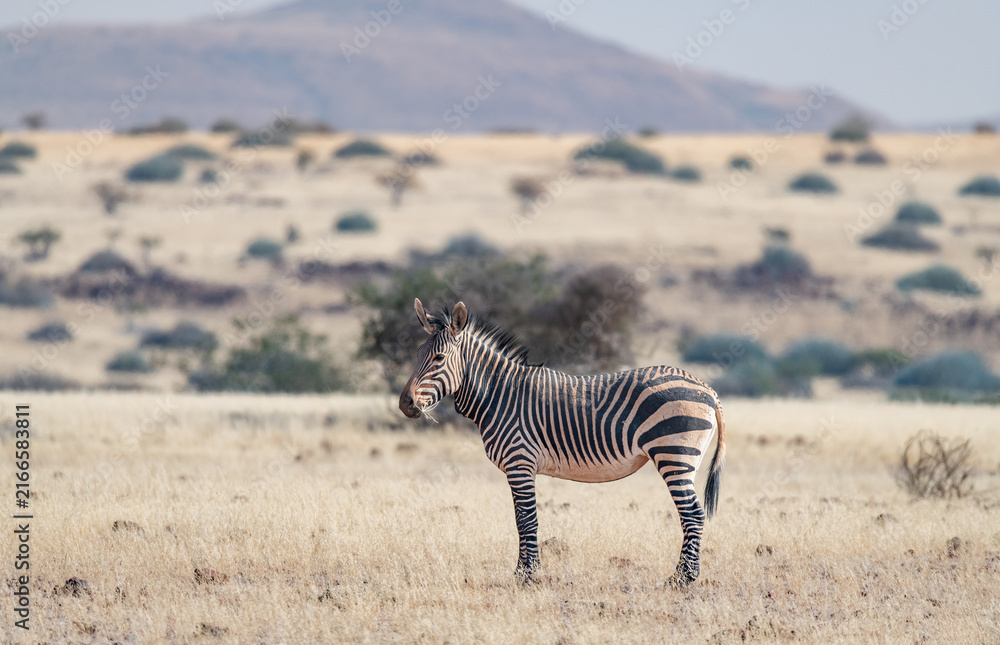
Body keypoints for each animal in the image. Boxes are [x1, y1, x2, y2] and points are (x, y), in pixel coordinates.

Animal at [398, 299, 726, 587]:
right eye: (416, 354)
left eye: (439, 359)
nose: (405, 404)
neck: (499, 396)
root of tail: (706, 387)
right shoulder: (520, 467)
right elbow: (522, 519)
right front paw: (526, 571)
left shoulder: (519, 463)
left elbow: (526, 519)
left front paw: (526, 575)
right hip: (684, 459)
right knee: (692, 515)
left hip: (674, 455)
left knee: (693, 514)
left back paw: (682, 578)